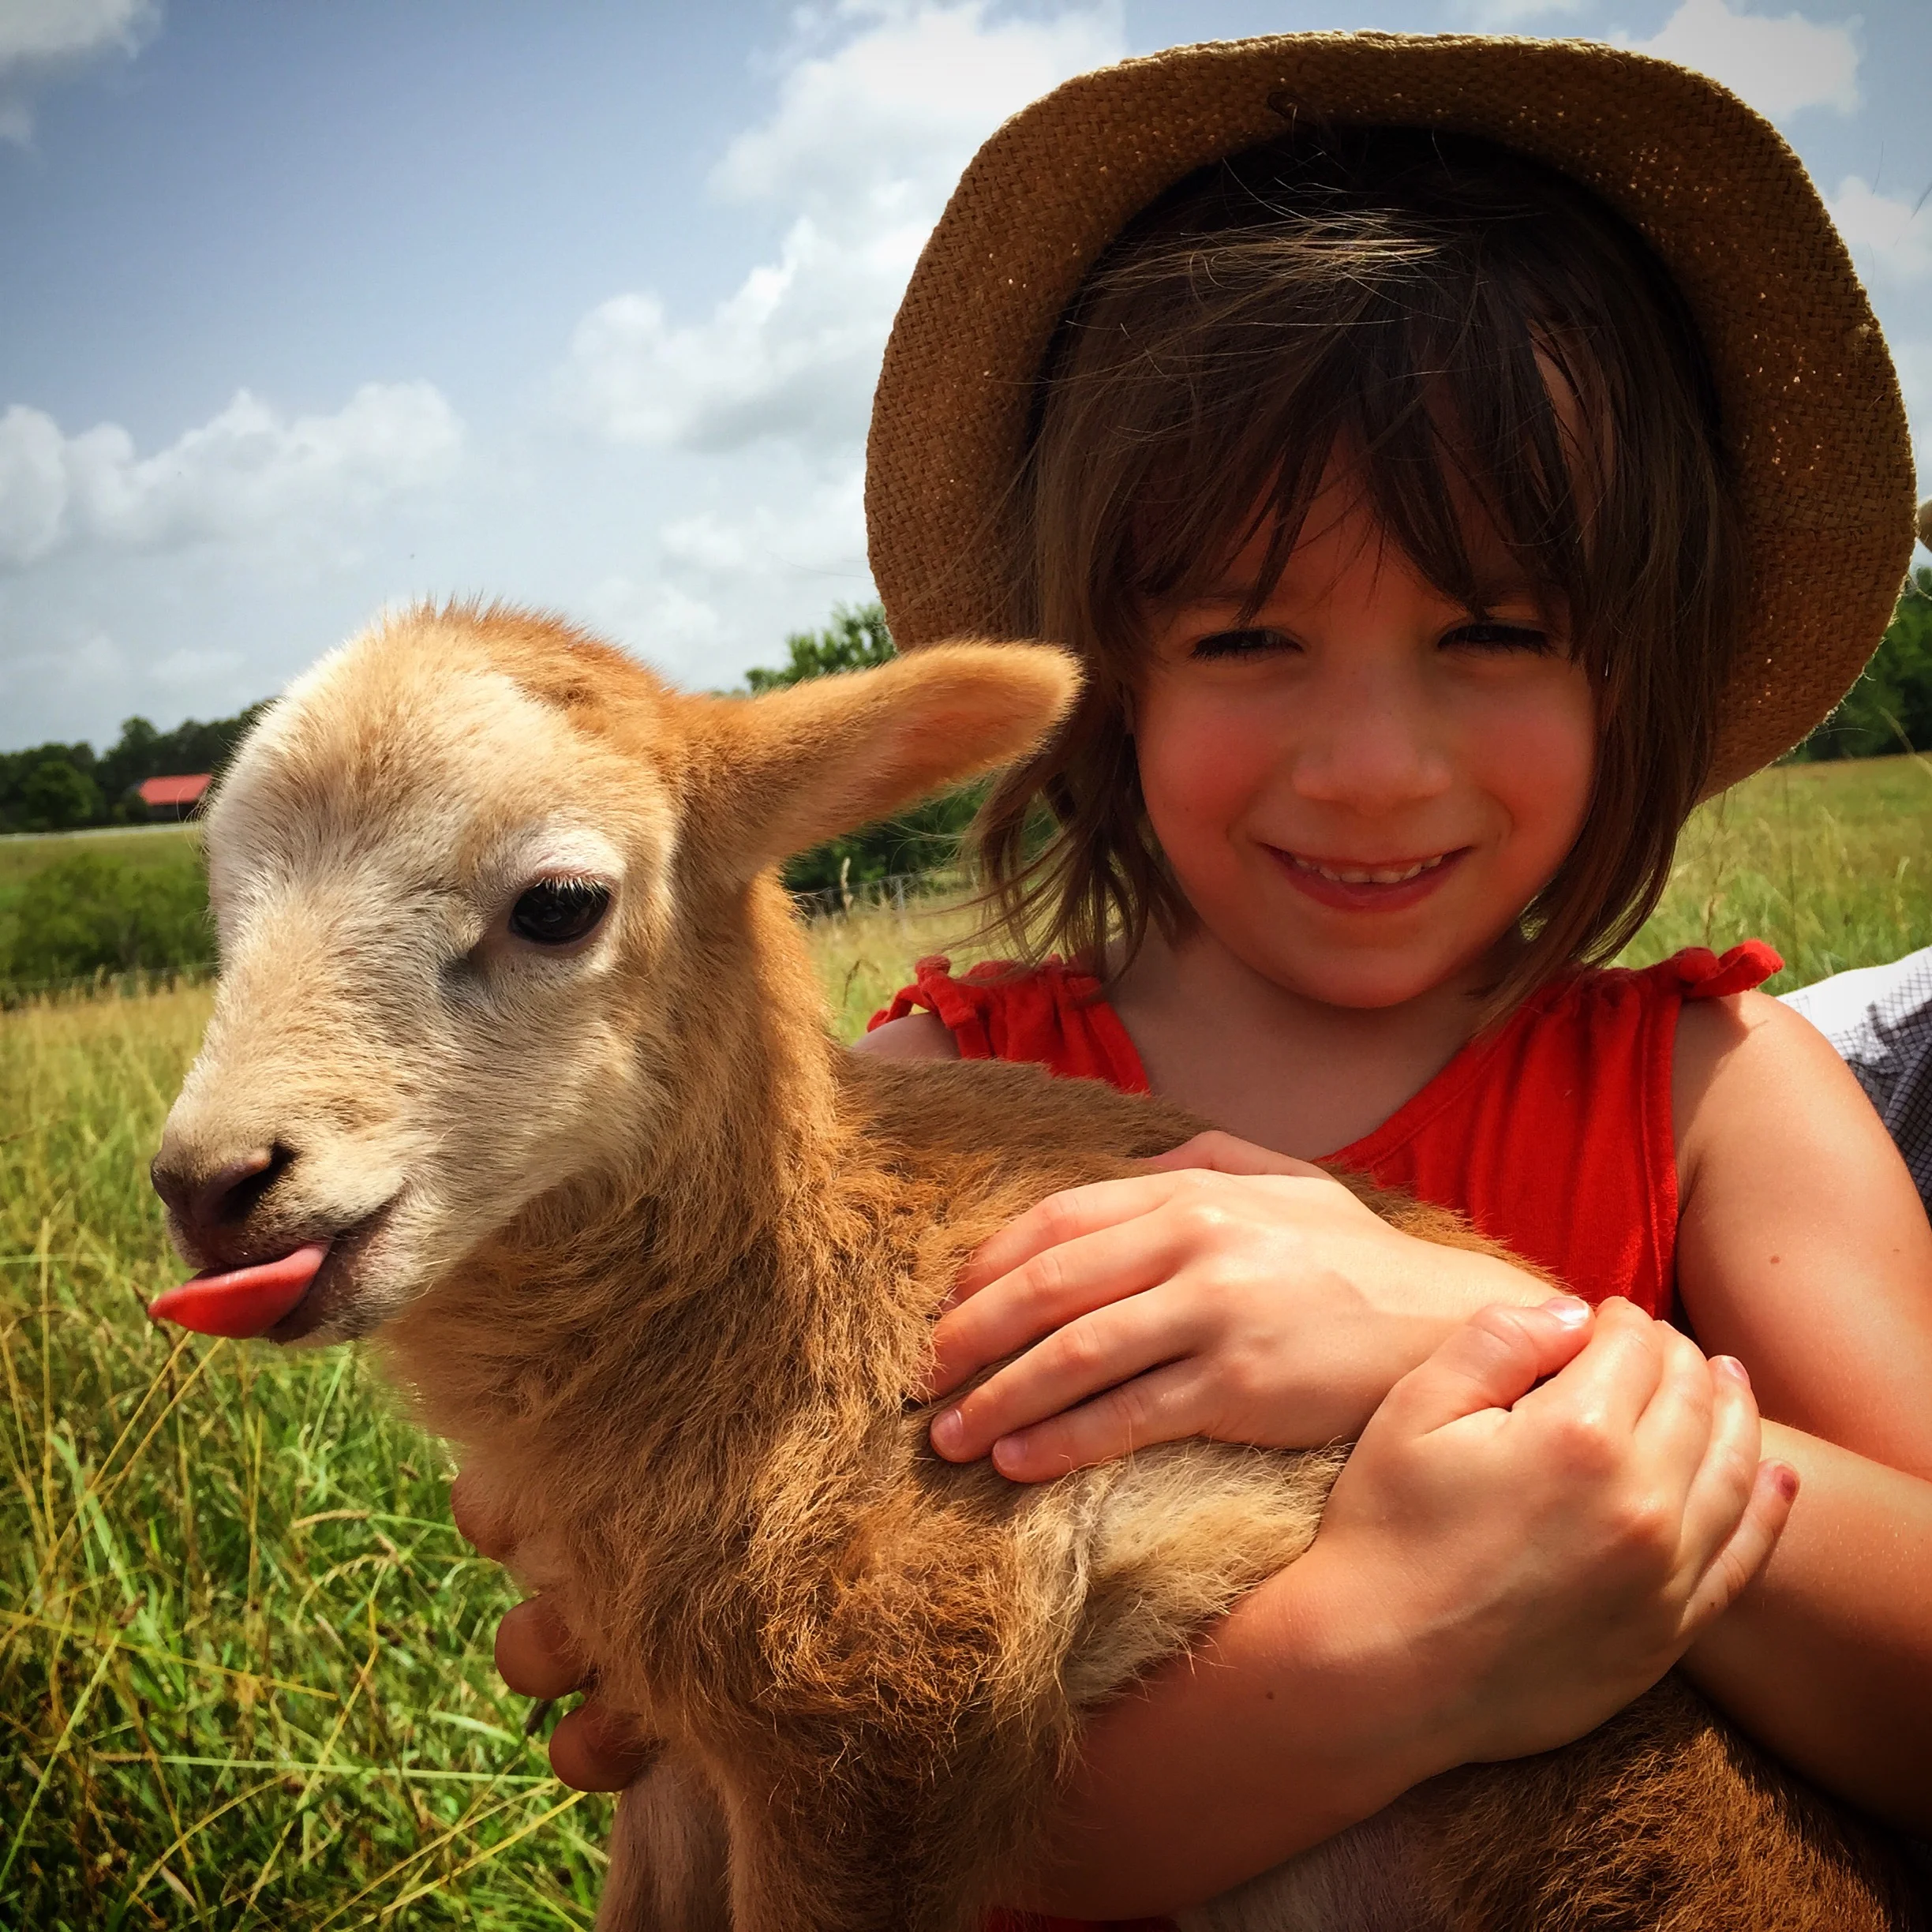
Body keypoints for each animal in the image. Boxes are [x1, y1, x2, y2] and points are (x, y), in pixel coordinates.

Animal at [148, 603, 1920, 1932]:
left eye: (560, 903)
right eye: (222, 910)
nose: (209, 1183)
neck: (787, 1306)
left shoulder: (881, 1730)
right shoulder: (687, 1764)